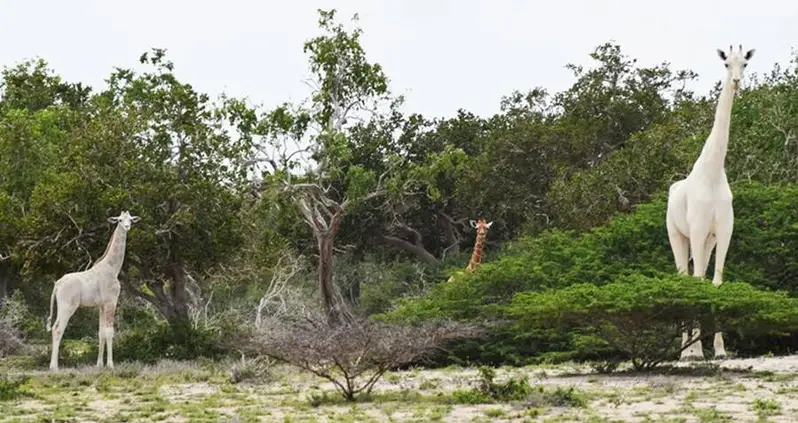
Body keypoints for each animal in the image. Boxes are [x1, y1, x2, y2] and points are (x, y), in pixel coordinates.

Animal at [46, 211, 140, 371]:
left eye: (130, 219)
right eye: (120, 220)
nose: (127, 227)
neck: (113, 268)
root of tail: (57, 284)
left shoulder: (101, 305)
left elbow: (101, 333)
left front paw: (99, 365)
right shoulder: (111, 302)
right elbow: (109, 332)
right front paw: (110, 365)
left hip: (62, 306)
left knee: (54, 327)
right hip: (68, 306)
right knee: (58, 329)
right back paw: (54, 368)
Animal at [666, 45, 754, 361]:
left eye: (745, 64)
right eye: (726, 64)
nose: (736, 82)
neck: (714, 172)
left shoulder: (723, 231)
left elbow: (715, 282)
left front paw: (719, 349)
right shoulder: (697, 229)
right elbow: (697, 282)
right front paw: (693, 351)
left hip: (706, 241)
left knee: (698, 275)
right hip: (678, 234)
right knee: (685, 276)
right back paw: (685, 350)